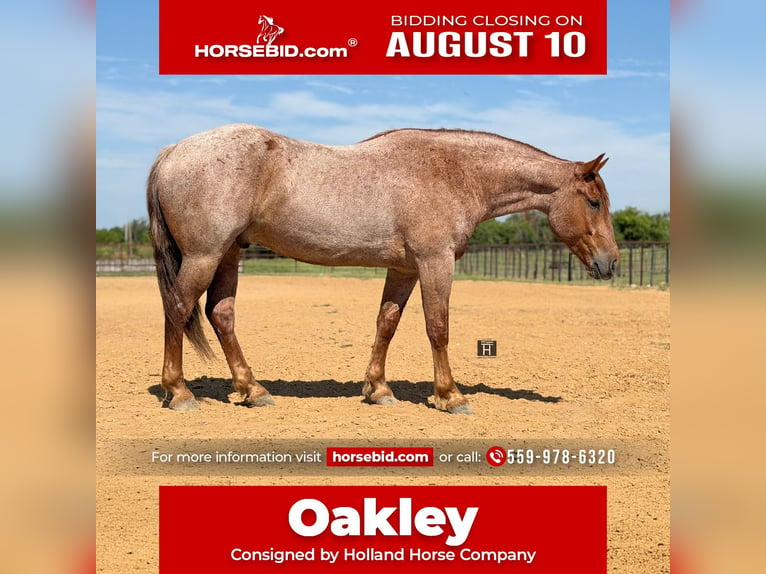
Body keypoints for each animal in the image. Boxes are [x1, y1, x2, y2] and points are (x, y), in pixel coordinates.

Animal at [147, 125, 619, 414]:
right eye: (594, 202)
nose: (611, 262)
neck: (453, 172)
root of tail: (173, 151)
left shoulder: (404, 270)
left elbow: (386, 324)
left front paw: (378, 390)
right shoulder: (434, 262)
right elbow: (438, 327)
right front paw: (450, 396)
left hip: (228, 254)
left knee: (220, 315)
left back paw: (252, 390)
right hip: (205, 254)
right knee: (177, 307)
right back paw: (180, 392)